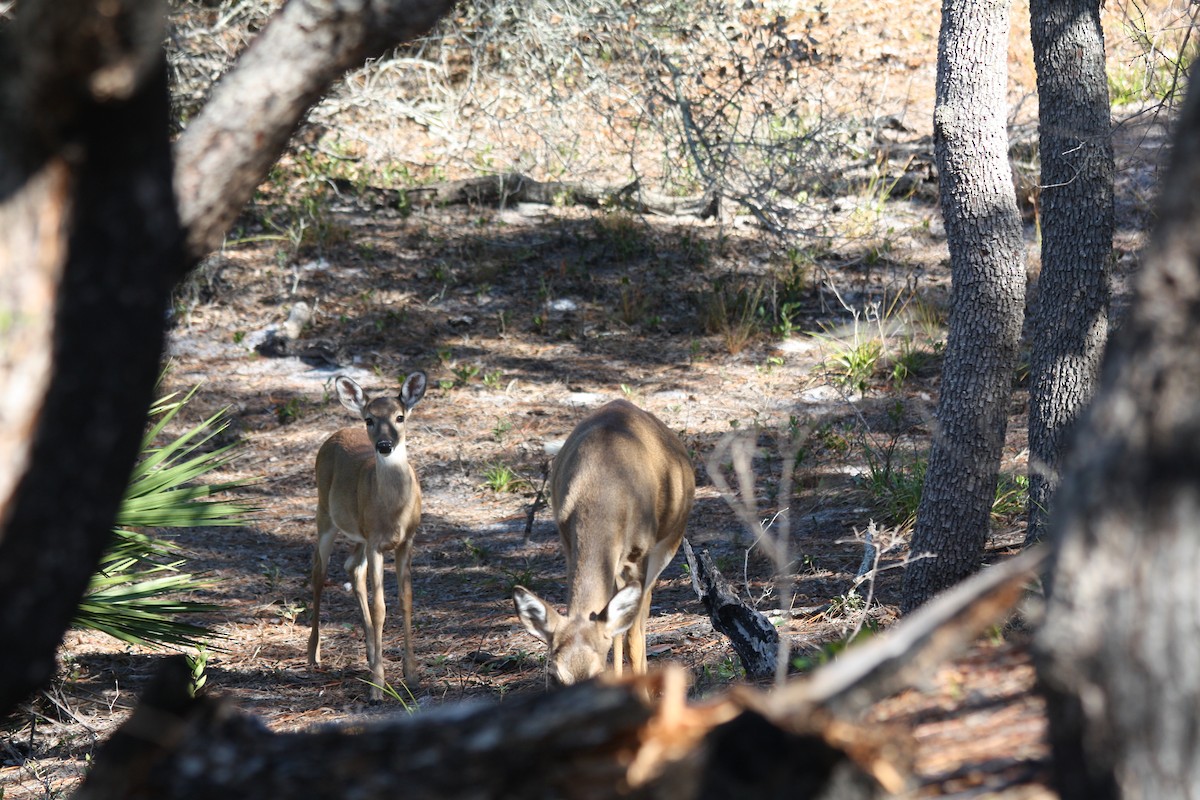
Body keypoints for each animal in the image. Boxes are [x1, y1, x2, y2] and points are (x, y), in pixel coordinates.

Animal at [308, 372, 427, 701]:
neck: (393, 514)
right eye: (370, 419)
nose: (385, 445)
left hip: (358, 534)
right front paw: (378, 687)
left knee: (352, 568)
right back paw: (314, 654)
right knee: (318, 572)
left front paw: (411, 676)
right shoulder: (375, 543)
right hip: (325, 513)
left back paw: (371, 655)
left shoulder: (406, 540)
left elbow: (406, 599)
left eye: (400, 417)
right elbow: (380, 607)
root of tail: (336, 432)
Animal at [512, 399, 695, 686]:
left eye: (597, 673)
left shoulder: (640, 555)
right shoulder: (568, 542)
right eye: (555, 675)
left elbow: (633, 637)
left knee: (642, 614)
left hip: (667, 545)